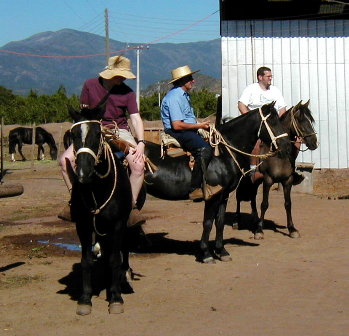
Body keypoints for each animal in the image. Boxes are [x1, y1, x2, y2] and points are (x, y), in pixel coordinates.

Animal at [69, 105, 133, 316]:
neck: (98, 188)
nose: (83, 172)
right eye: (73, 135)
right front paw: (85, 298)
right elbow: (86, 261)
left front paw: (115, 297)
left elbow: (115, 259)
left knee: (121, 252)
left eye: (98, 134)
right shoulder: (83, 225)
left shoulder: (119, 223)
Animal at [143, 101, 290, 264]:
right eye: (272, 121)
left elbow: (219, 221)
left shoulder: (223, 195)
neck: (223, 154)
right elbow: (207, 223)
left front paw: (221, 251)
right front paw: (206, 253)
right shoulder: (212, 197)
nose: (287, 145)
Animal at [234, 100, 318, 239]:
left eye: (310, 120)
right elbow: (264, 204)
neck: (279, 154)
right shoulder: (268, 180)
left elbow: (288, 204)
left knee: (252, 195)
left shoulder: (287, 181)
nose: (314, 142)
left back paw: (255, 218)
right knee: (238, 196)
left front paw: (292, 229)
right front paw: (259, 230)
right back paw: (237, 221)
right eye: (300, 120)